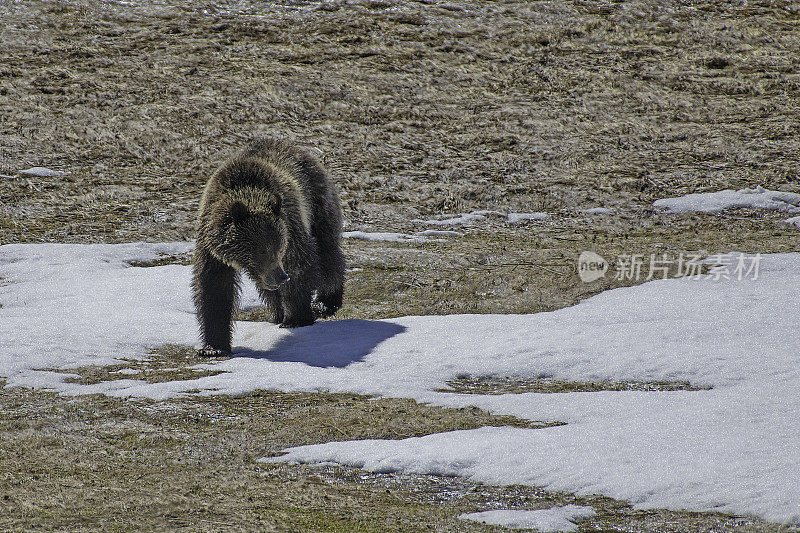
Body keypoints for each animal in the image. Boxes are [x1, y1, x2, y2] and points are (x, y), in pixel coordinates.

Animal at [194, 137, 346, 356]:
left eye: (278, 247)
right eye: (261, 250)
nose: (281, 277)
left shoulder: (291, 226)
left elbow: (300, 266)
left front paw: (297, 318)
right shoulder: (212, 250)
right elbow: (214, 289)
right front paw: (214, 347)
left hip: (317, 203)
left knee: (327, 254)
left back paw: (325, 302)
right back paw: (278, 311)